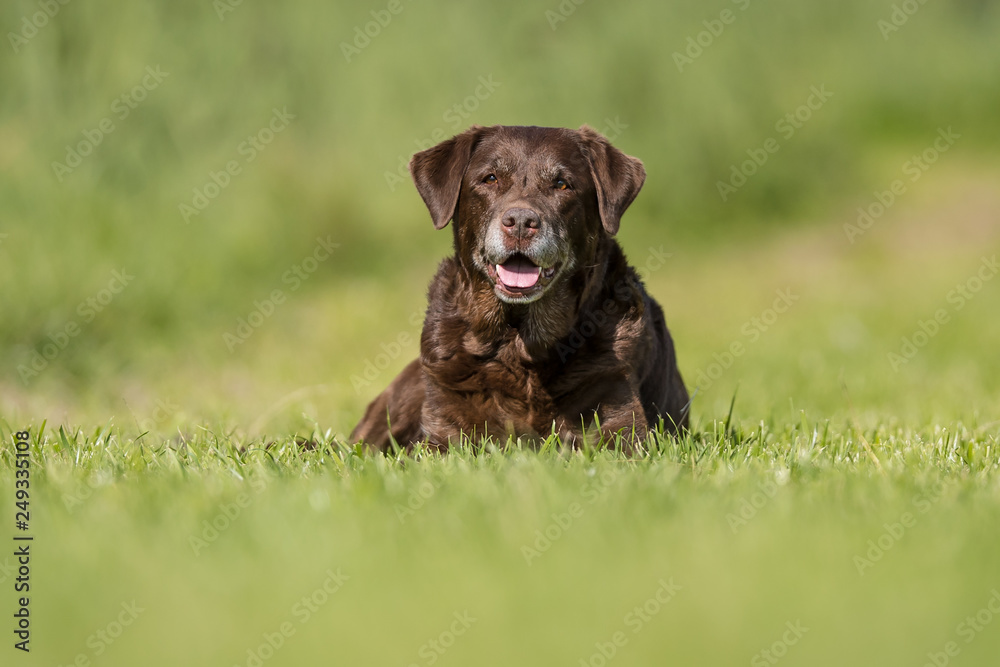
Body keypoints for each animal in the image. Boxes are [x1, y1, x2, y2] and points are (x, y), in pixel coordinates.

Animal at [352, 123, 688, 452]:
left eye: (562, 184)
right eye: (490, 178)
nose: (521, 221)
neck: (518, 342)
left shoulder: (620, 418)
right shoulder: (440, 433)